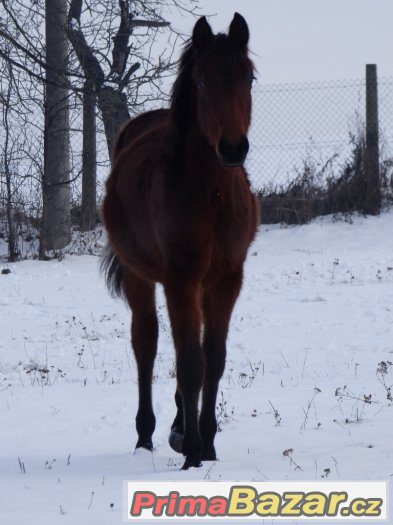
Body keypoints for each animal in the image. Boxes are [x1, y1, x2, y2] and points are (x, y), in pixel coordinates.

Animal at [102, 14, 258, 468]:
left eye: (248, 77)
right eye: (202, 81)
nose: (232, 148)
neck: (211, 194)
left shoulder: (226, 279)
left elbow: (214, 359)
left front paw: (207, 444)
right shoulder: (180, 279)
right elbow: (190, 362)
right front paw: (192, 452)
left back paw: (175, 426)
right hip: (138, 276)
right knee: (147, 344)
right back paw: (146, 434)